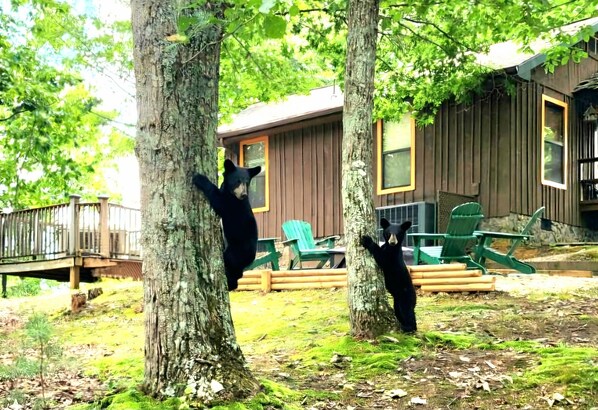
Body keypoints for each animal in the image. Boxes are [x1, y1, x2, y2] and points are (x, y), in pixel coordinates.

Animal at [193, 159, 262, 290]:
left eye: (247, 182)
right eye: (237, 181)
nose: (244, 194)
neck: (231, 194)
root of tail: (251, 258)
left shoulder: (232, 205)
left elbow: (218, 201)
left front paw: (199, 178)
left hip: (235, 252)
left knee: (229, 262)